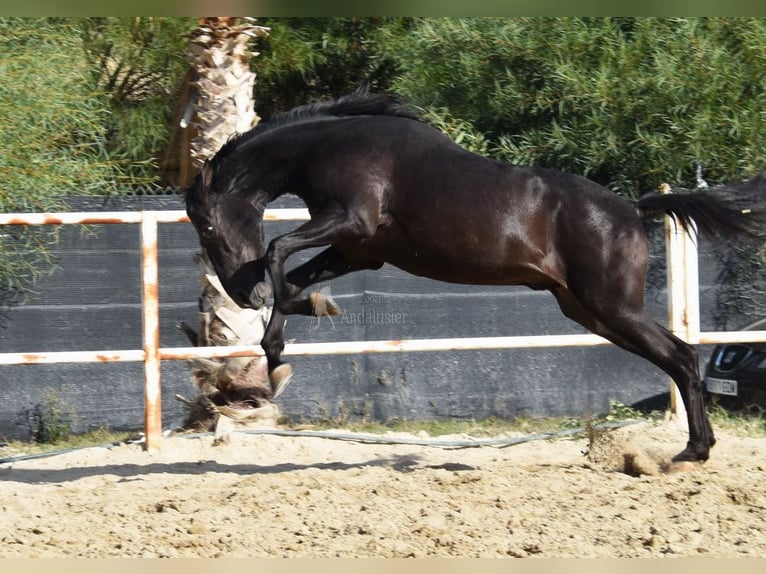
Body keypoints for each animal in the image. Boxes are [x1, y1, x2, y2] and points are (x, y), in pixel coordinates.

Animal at [186, 89, 766, 464]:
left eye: (207, 222)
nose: (241, 293)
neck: (334, 145)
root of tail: (632, 208)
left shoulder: (352, 221)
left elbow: (279, 248)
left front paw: (279, 348)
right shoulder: (360, 250)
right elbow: (296, 278)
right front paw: (293, 334)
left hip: (612, 307)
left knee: (683, 357)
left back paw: (693, 451)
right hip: (591, 311)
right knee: (676, 357)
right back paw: (695, 449)